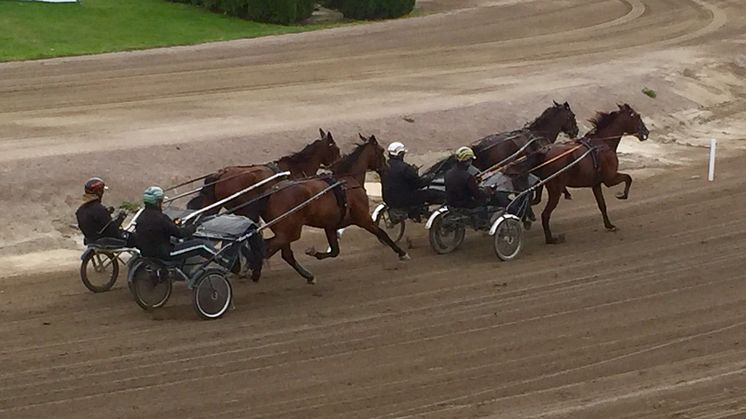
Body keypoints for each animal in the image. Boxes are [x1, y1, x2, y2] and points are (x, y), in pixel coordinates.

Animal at [186, 129, 340, 220]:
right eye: (336, 149)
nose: (338, 164)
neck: (295, 169)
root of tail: (221, 174)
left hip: (216, 205)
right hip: (242, 208)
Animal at [254, 135, 406, 286]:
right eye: (381, 150)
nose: (387, 168)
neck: (348, 181)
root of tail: (270, 193)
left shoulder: (330, 226)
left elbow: (334, 251)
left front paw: (313, 252)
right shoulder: (363, 219)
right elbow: (382, 233)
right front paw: (402, 253)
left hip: (285, 231)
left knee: (283, 253)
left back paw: (306, 276)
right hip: (290, 231)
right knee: (268, 249)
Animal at [536, 103, 648, 244]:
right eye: (637, 116)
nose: (646, 132)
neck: (602, 143)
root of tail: (545, 154)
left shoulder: (596, 184)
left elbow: (602, 205)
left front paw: (609, 225)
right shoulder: (610, 179)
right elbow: (628, 178)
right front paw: (622, 195)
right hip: (555, 191)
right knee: (545, 214)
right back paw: (551, 239)